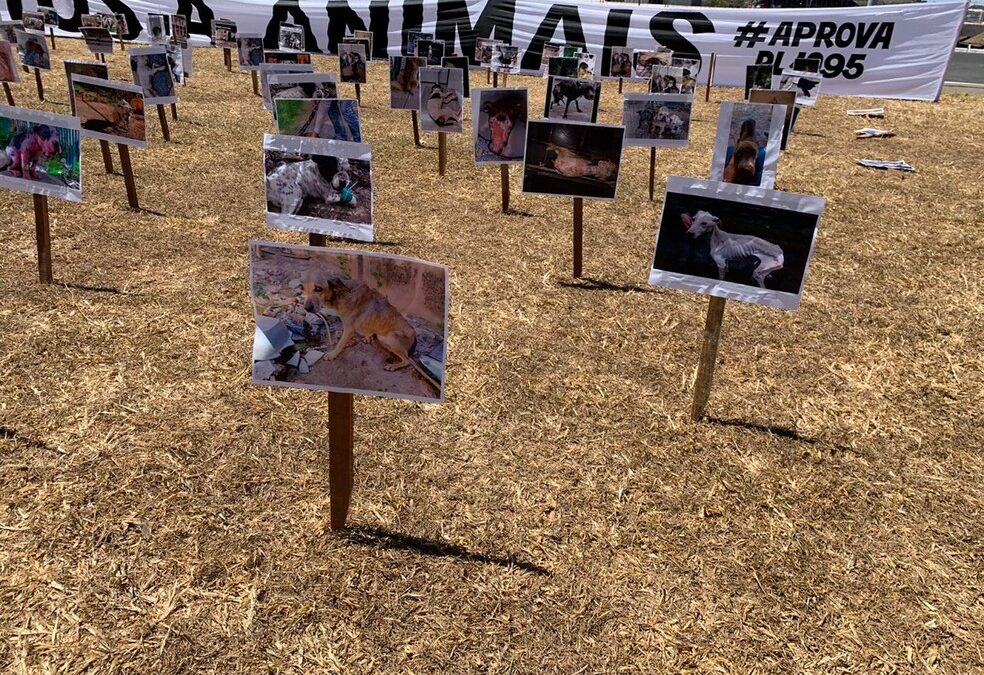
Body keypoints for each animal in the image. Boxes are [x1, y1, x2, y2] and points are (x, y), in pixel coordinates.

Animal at [298, 272, 440, 394]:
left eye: (319, 289)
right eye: (303, 288)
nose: (307, 308)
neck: (341, 294)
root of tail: (415, 337)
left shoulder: (349, 327)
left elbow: (340, 344)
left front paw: (333, 354)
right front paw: (366, 336)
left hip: (391, 337)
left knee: (408, 360)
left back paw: (393, 366)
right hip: (383, 338)